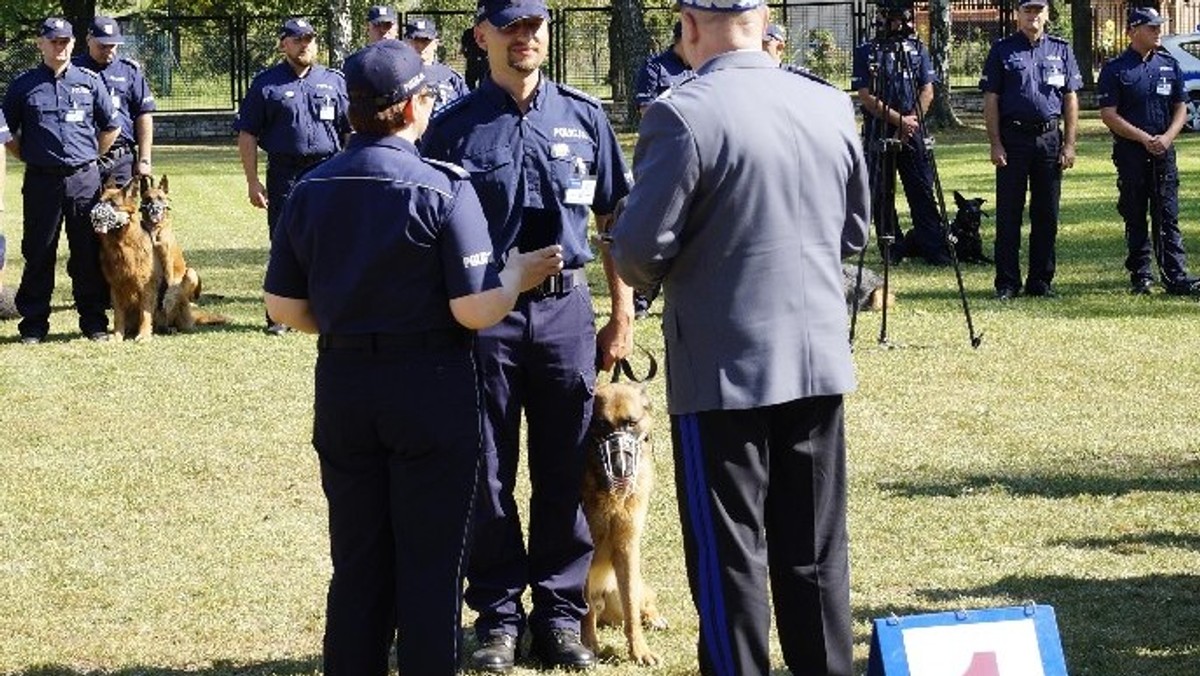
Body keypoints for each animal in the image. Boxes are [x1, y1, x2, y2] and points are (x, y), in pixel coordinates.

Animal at [91, 177, 159, 341]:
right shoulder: (115, 287)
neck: (122, 245)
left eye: (113, 204)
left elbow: (145, 313)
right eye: (100, 201)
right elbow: (118, 316)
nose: (95, 215)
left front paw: (144, 335)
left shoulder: (145, 287)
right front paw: (117, 336)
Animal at [139, 176, 225, 331]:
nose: (154, 210)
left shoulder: (167, 263)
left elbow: (167, 286)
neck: (155, 230)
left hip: (190, 272)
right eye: (148, 199)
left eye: (160, 198)